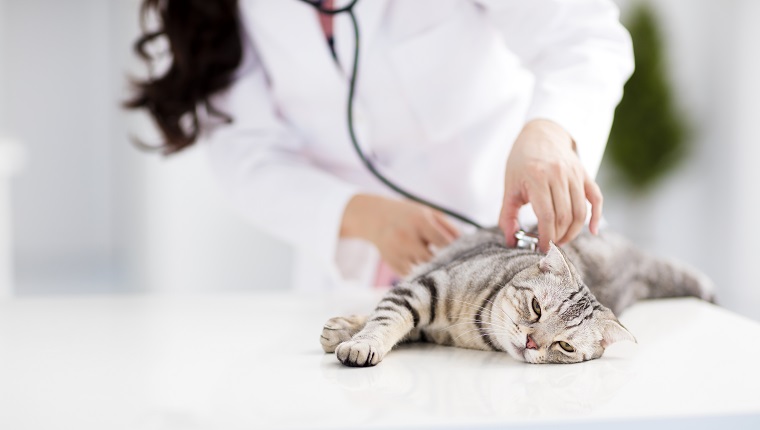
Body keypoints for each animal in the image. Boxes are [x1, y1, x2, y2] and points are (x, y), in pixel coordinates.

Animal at [320, 227, 712, 364]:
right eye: (536, 307)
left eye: (565, 346)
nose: (531, 342)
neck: (472, 328)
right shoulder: (424, 286)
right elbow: (387, 318)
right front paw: (360, 341)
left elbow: (395, 321)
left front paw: (351, 334)